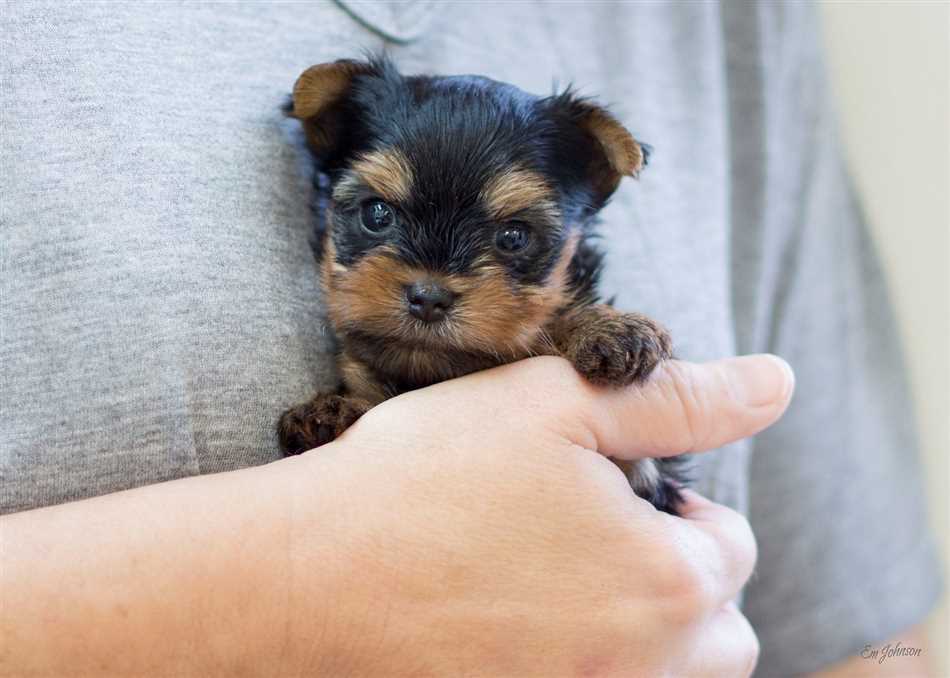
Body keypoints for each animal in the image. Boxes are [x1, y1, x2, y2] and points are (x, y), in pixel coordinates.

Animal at [278, 58, 688, 516]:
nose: (429, 298)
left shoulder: (650, 476)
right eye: (376, 214)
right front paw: (327, 413)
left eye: (514, 236)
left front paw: (609, 330)